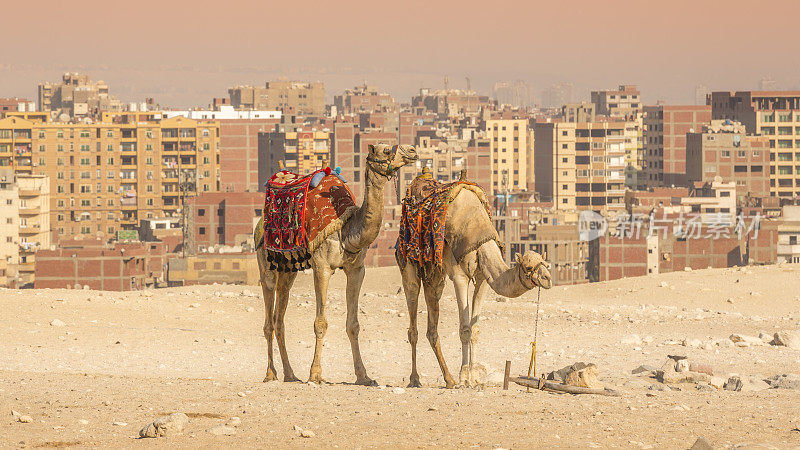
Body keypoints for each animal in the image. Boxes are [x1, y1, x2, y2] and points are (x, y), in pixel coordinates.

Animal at [255, 144, 418, 386]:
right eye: (386, 150)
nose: (412, 151)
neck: (348, 231)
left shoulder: (357, 269)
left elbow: (353, 324)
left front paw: (364, 376)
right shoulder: (322, 267)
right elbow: (320, 323)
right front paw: (315, 374)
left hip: (288, 269)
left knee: (279, 319)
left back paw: (290, 375)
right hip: (265, 261)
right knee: (268, 318)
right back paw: (270, 373)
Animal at [396, 181, 552, 388]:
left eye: (545, 263)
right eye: (527, 267)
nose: (547, 278)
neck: (480, 239)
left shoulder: (483, 278)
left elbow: (475, 329)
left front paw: (475, 377)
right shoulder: (459, 276)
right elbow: (465, 329)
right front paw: (464, 376)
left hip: (434, 275)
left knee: (432, 321)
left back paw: (449, 379)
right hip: (407, 262)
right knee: (412, 315)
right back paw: (415, 379)